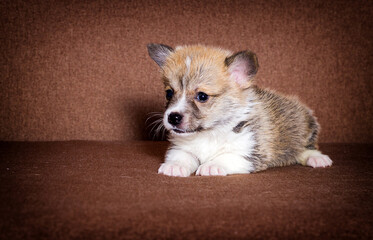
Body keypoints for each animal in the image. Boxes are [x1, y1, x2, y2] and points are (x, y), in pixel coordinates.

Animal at [145, 44, 332, 177]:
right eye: (169, 93)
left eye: (202, 96)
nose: (173, 117)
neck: (209, 133)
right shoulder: (181, 148)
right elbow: (182, 156)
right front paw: (174, 166)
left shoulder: (249, 154)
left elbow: (226, 157)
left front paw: (211, 165)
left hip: (306, 127)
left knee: (306, 148)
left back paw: (316, 158)